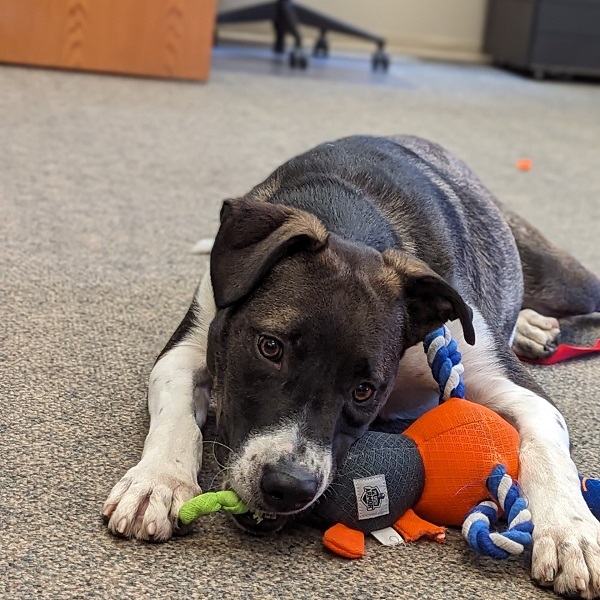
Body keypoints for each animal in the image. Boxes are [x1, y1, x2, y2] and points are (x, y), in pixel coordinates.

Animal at [103, 136, 600, 600]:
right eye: (269, 347)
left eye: (364, 390)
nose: (289, 487)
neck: (350, 222)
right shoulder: (187, 345)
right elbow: (176, 415)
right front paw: (158, 481)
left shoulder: (510, 383)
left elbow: (546, 449)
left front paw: (572, 531)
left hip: (566, 281)